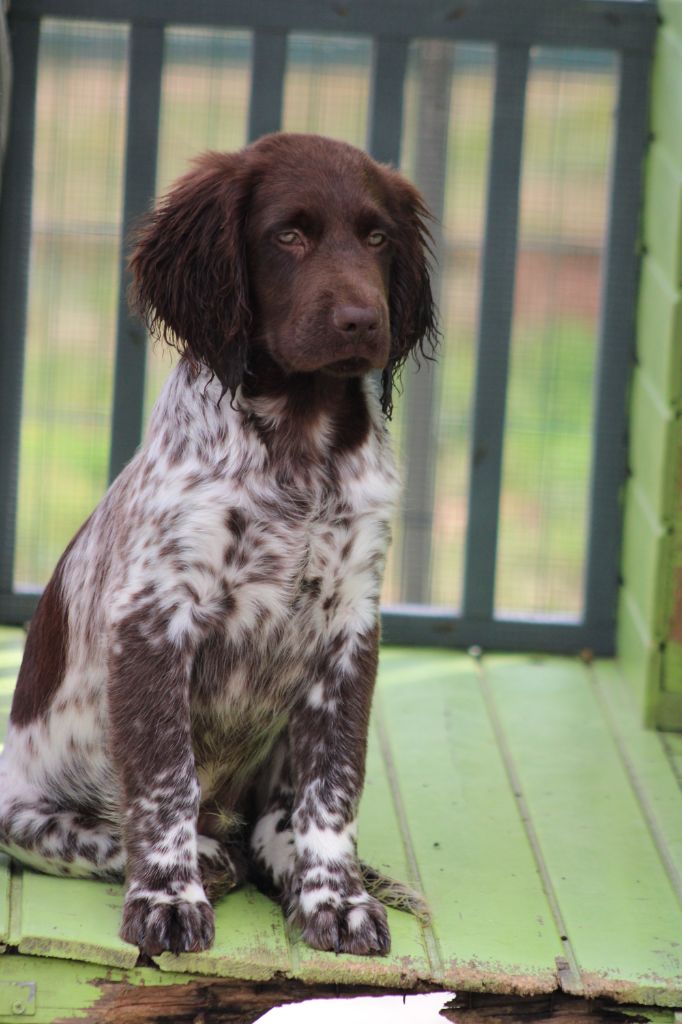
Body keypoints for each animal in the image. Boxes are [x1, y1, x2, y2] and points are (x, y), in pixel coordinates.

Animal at [0, 134, 436, 958]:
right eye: (288, 235)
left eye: (377, 239)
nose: (364, 320)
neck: (299, 441)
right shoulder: (153, 621)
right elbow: (165, 780)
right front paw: (169, 898)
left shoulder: (349, 629)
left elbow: (333, 786)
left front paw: (334, 898)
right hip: (19, 811)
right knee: (112, 830)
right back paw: (206, 857)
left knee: (271, 823)